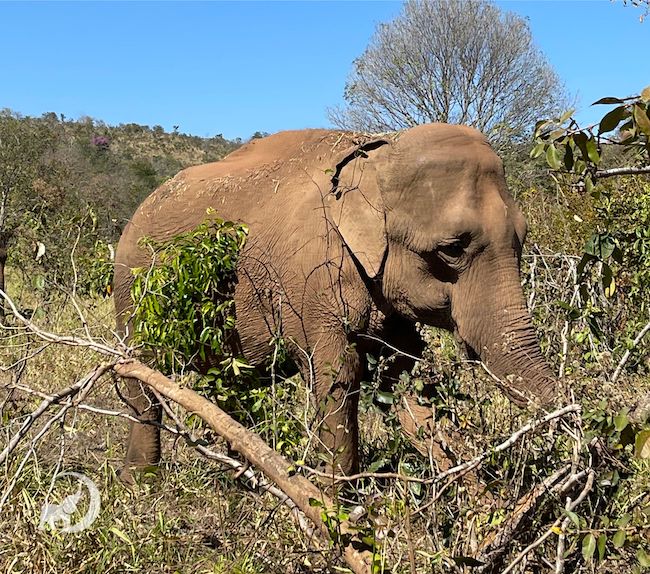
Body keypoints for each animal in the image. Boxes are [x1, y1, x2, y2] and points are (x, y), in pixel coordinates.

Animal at [113, 124, 557, 477]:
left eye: (522, 239)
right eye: (452, 250)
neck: (378, 152)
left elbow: (402, 372)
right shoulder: (313, 278)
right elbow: (337, 377)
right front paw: (341, 515)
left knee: (234, 388)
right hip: (131, 291)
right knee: (142, 384)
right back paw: (142, 485)